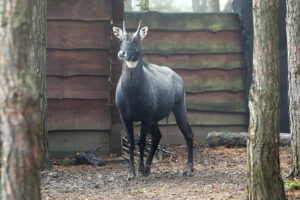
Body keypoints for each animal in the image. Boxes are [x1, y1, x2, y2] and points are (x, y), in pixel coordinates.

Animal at [113, 21, 195, 180]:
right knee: (158, 136)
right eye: (121, 40)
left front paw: (139, 170)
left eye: (135, 40)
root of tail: (177, 76)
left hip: (179, 108)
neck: (132, 94)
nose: (122, 53)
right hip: (154, 120)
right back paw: (148, 168)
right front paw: (131, 172)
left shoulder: (146, 116)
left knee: (189, 133)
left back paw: (189, 169)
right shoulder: (124, 116)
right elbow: (131, 142)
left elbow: (142, 142)